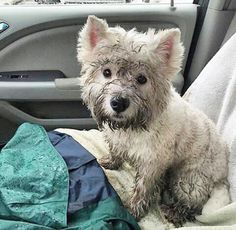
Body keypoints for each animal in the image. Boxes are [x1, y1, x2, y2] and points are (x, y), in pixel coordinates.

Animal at [77, 15, 229, 226]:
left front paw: (133, 209)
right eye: (107, 72)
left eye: (142, 79)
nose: (118, 103)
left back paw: (176, 212)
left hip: (189, 178)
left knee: (193, 202)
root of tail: (223, 171)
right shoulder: (118, 140)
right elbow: (116, 151)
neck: (133, 125)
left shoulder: (152, 162)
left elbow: (143, 187)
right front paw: (112, 161)